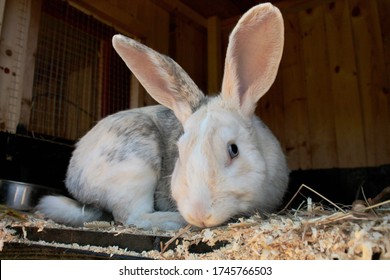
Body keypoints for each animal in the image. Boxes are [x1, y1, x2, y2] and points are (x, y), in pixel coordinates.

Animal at [35, 2, 288, 230]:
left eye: (233, 150)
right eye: (180, 152)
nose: (199, 214)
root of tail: (74, 180)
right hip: (134, 169)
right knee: (131, 216)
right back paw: (173, 221)